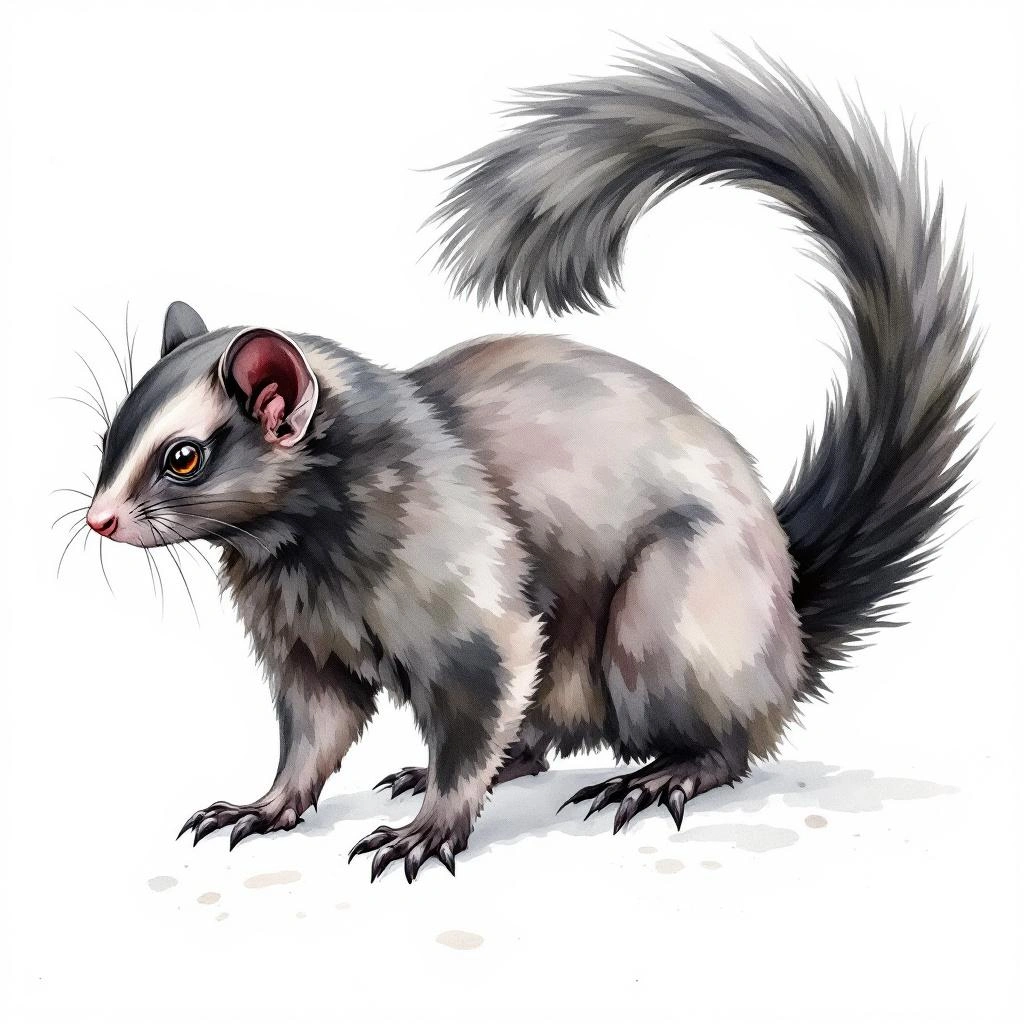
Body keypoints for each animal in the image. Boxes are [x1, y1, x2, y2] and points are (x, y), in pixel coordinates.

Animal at [82, 45, 977, 882]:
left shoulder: (466, 603)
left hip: (667, 620)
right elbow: (314, 730)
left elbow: (477, 697)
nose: (98, 520)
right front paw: (265, 806)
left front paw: (430, 830)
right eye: (107, 441)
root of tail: (789, 611)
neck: (298, 552)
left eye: (184, 456)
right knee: (535, 739)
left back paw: (664, 774)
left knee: (723, 737)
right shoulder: (305, 643)